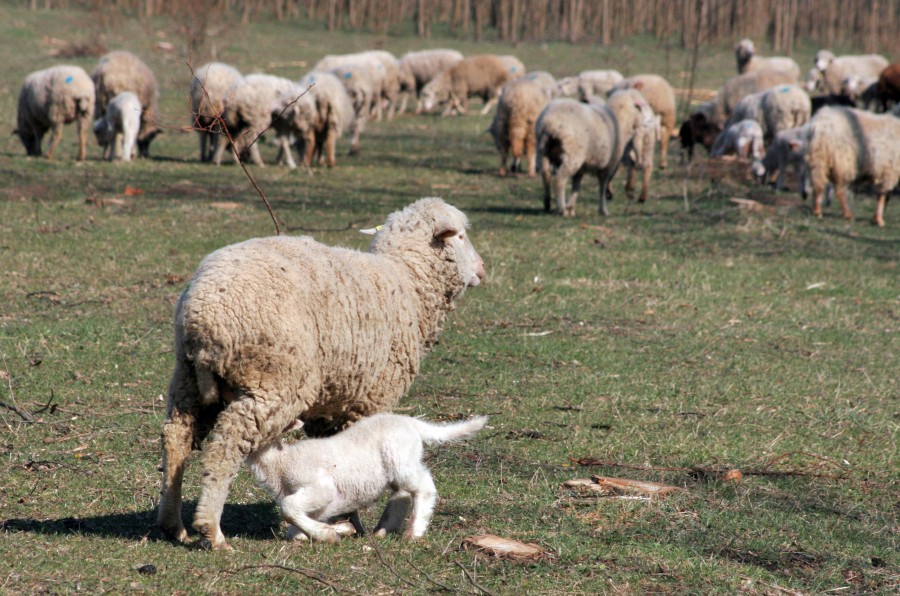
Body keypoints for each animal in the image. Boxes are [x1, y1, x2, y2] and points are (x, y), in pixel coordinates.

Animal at [244, 412, 486, 544]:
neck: (281, 463)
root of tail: (409, 421)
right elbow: (296, 524)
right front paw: (316, 533)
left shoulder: (321, 487)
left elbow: (288, 507)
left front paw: (327, 535)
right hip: (396, 467)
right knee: (403, 494)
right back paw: (383, 529)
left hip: (401, 458)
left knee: (423, 487)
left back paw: (413, 532)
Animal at [536, 88, 652, 217]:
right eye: (641, 109)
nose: (649, 122)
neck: (619, 122)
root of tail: (549, 123)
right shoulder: (608, 165)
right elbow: (603, 185)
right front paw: (603, 209)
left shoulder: (581, 168)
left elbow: (576, 186)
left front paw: (571, 208)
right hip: (573, 154)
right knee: (560, 179)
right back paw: (561, 209)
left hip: (543, 151)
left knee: (545, 174)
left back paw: (547, 204)